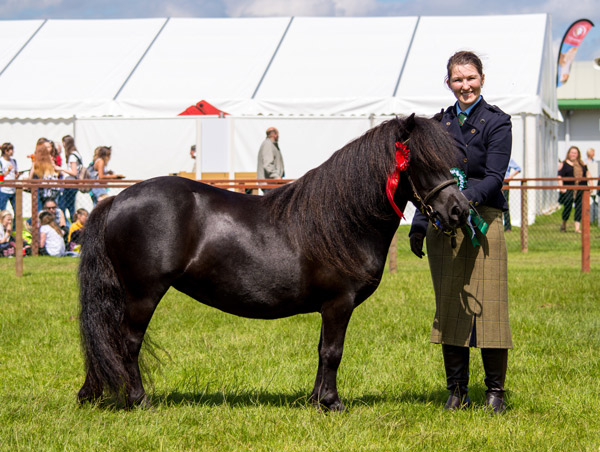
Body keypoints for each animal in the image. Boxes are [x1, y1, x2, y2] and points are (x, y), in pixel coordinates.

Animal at [76, 113, 468, 410]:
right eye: (421, 162)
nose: (459, 211)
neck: (341, 220)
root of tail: (117, 200)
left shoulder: (328, 307)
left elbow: (322, 351)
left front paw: (315, 400)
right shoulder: (339, 303)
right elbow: (334, 352)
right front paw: (333, 403)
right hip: (143, 294)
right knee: (127, 342)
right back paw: (139, 400)